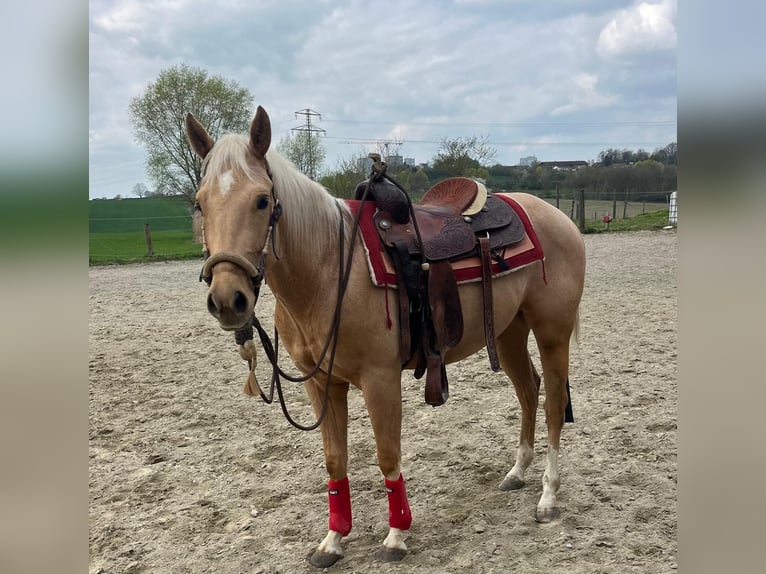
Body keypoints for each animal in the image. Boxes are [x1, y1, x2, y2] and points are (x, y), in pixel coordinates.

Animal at [185, 106, 586, 568]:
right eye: (199, 203)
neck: (329, 269)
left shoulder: (380, 379)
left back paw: (548, 497)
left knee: (553, 402)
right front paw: (333, 540)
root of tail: (558, 217)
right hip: (508, 331)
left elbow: (387, 456)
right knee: (528, 391)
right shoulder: (322, 384)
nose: (227, 299)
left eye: (262, 200)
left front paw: (396, 535)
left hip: (551, 332)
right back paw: (517, 473)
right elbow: (334, 461)